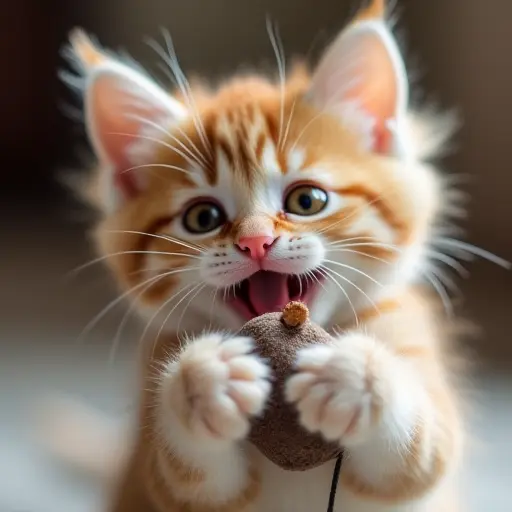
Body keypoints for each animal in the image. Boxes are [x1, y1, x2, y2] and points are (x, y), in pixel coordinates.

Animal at [60, 1, 468, 512]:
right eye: (203, 217)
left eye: (307, 201)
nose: (256, 242)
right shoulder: (159, 466)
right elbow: (186, 477)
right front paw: (203, 381)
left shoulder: (408, 341)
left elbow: (421, 454)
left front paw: (355, 376)